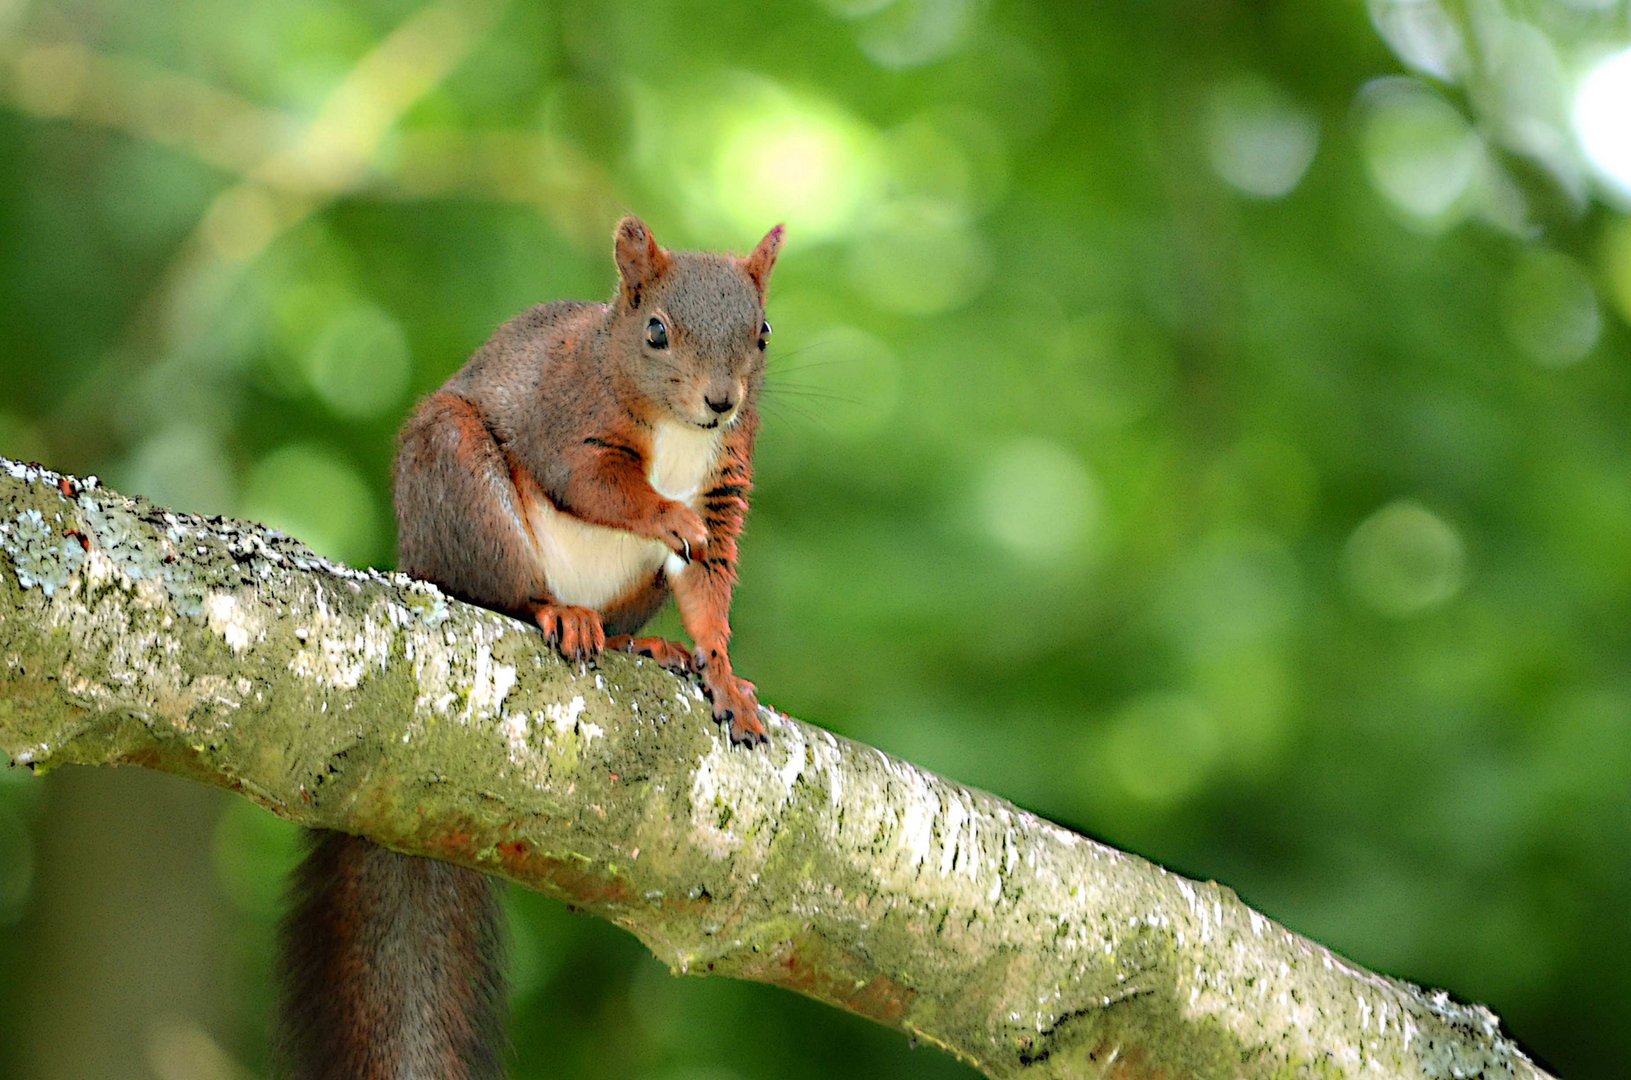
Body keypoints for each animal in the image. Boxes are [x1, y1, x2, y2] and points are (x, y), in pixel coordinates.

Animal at [277, 220, 786, 1080]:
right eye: (656, 331)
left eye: (762, 333)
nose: (722, 402)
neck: (679, 435)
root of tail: (418, 561)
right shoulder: (565, 417)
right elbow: (597, 485)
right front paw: (665, 515)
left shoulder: (727, 480)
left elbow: (709, 586)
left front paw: (722, 673)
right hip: (459, 481)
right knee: (505, 595)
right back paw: (558, 614)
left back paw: (645, 645)